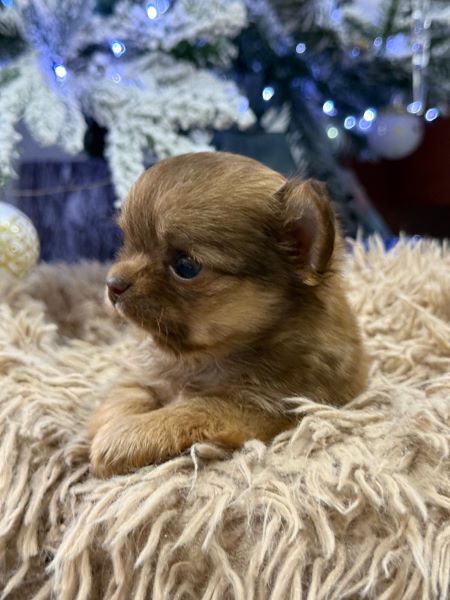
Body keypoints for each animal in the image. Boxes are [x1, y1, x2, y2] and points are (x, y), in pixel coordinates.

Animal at [89, 151, 370, 478]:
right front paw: (106, 426)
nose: (112, 284)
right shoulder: (144, 372)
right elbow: (127, 394)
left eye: (186, 266)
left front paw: (120, 438)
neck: (205, 357)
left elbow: (193, 409)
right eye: (127, 242)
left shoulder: (262, 408)